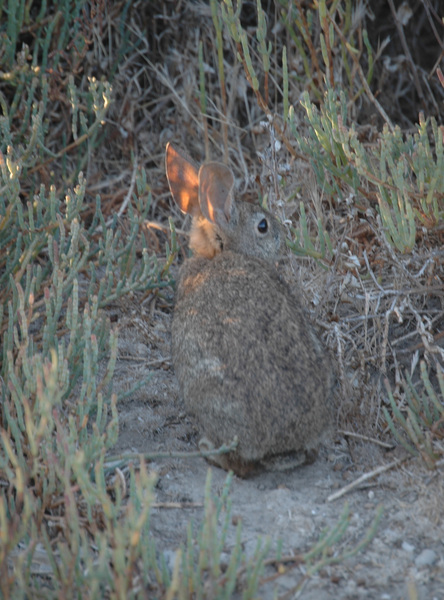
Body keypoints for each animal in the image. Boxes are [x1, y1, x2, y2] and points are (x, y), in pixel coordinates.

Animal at [166, 143, 332, 476]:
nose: (283, 237)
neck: (218, 254)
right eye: (263, 226)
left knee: (240, 466)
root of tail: (283, 444)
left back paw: (208, 450)